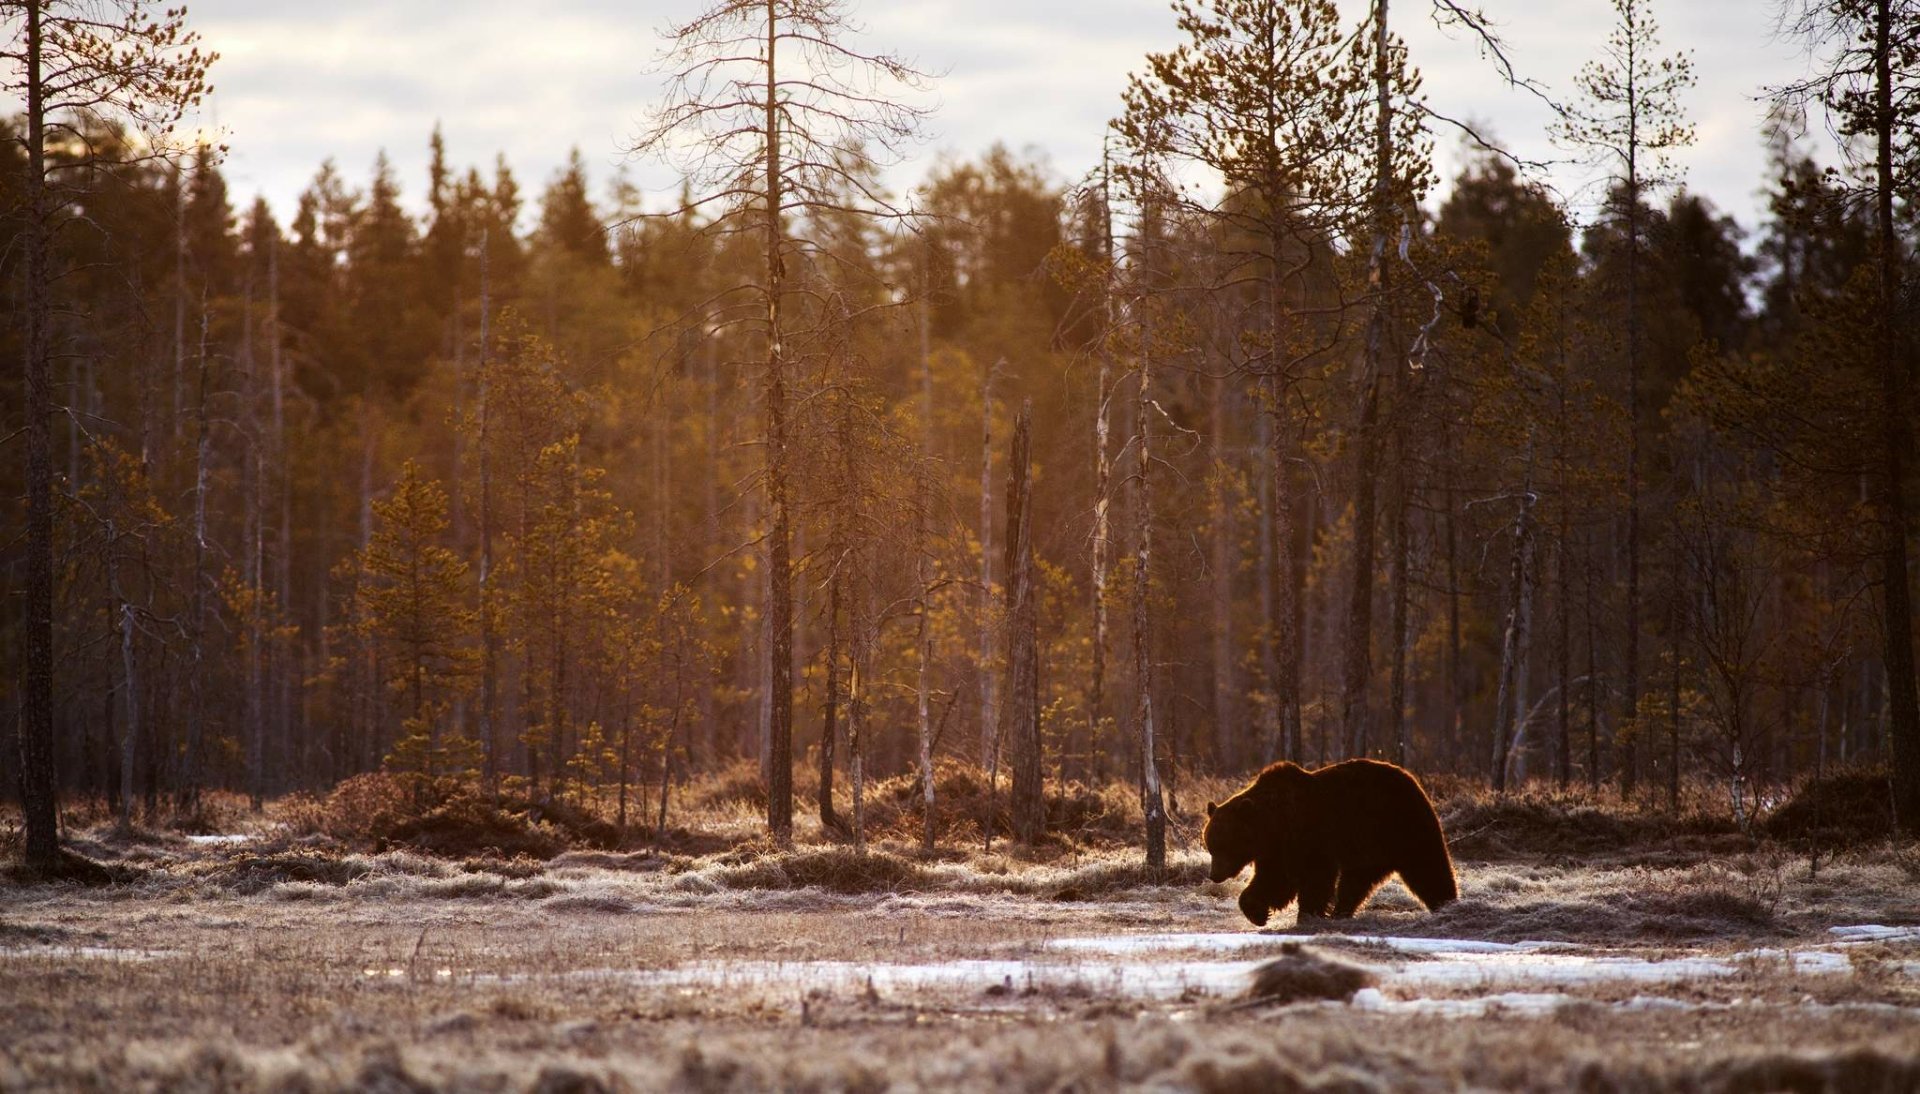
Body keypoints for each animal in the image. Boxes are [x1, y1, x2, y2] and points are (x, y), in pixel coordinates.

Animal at [1198, 756, 1451, 921]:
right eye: (1211, 846)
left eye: (1224, 846)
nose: (1214, 875)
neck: (1273, 825)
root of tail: (1412, 778)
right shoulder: (1275, 850)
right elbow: (1273, 880)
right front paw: (1258, 912)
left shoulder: (1308, 834)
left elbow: (1314, 876)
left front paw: (1308, 913)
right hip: (1369, 848)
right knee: (1356, 881)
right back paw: (1341, 912)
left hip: (1401, 825)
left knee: (1427, 866)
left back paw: (1446, 903)